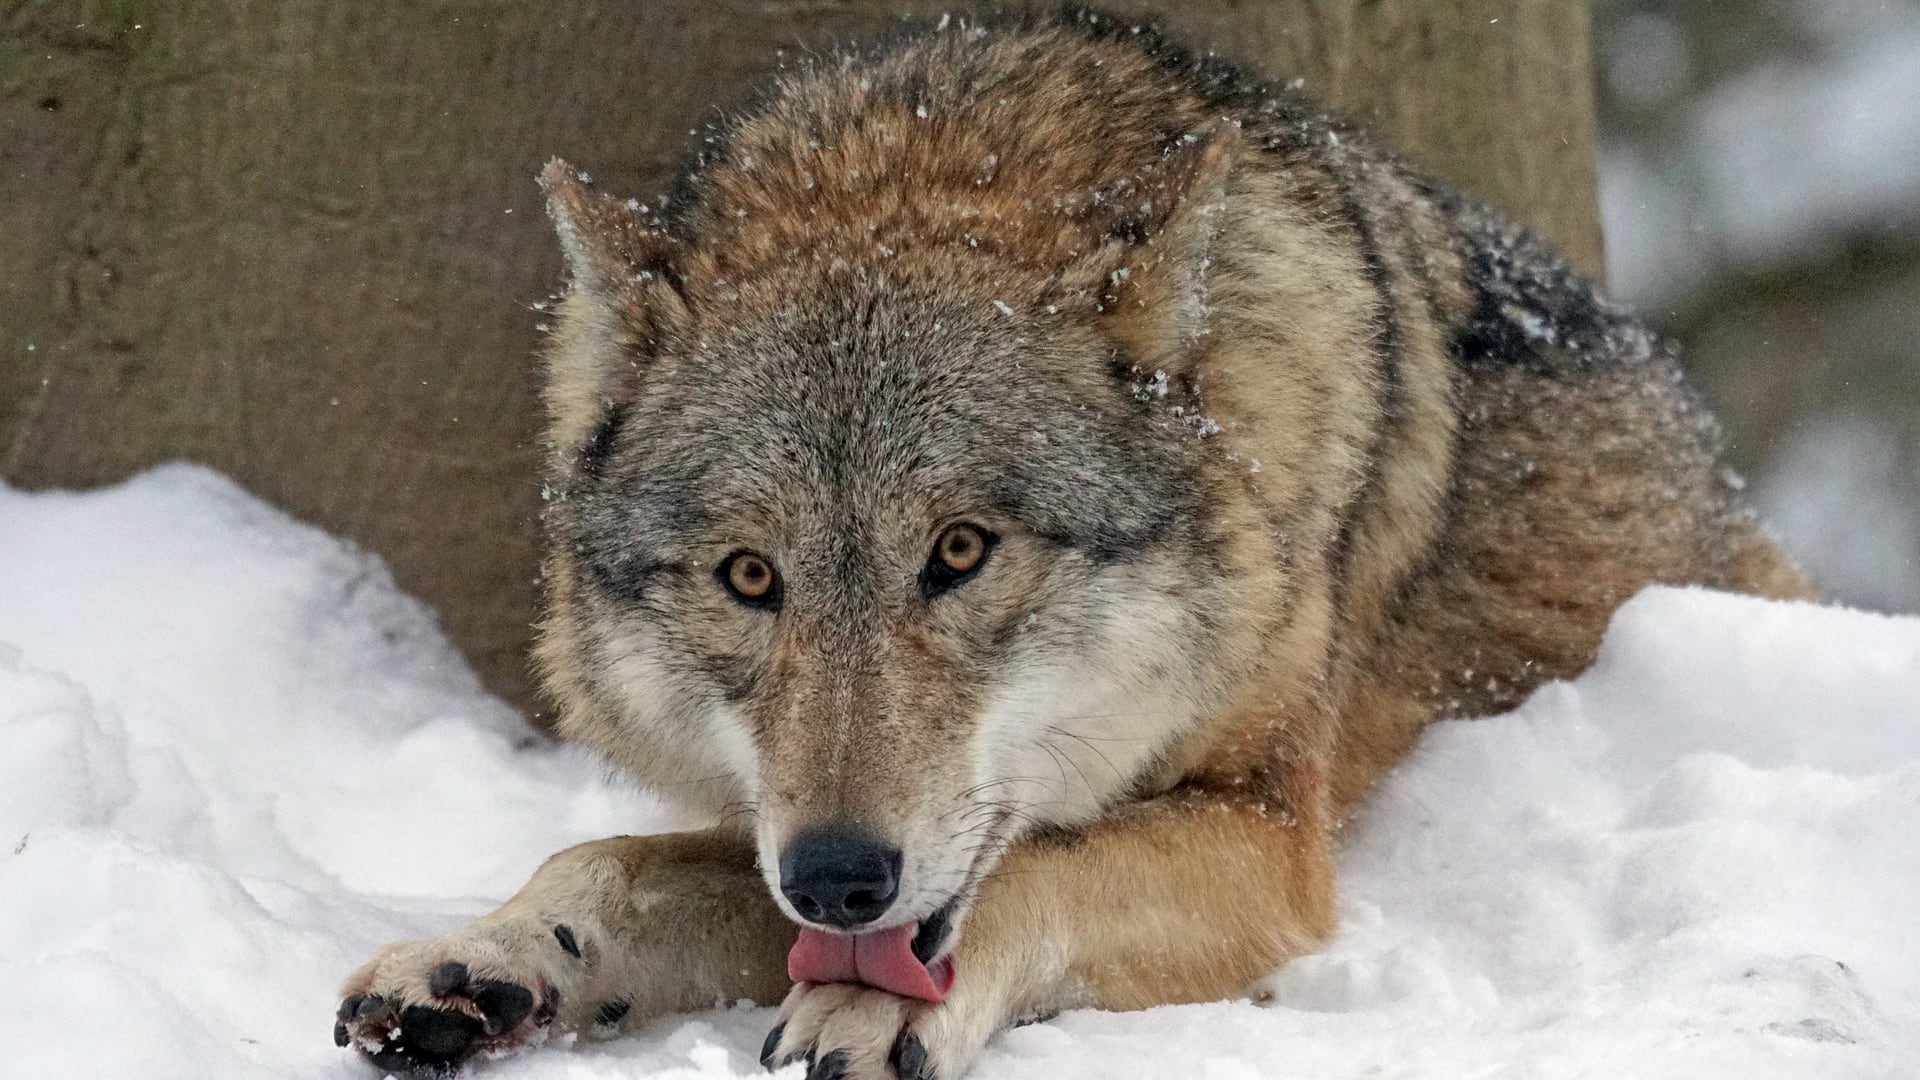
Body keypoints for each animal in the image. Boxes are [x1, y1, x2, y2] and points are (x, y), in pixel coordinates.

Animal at [335, 9, 1814, 1078]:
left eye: (962, 552)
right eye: (750, 579)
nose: (839, 876)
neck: (929, 167)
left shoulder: (1271, 836)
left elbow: (1042, 865)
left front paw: (881, 1013)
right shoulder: (783, 847)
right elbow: (607, 862)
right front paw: (478, 959)